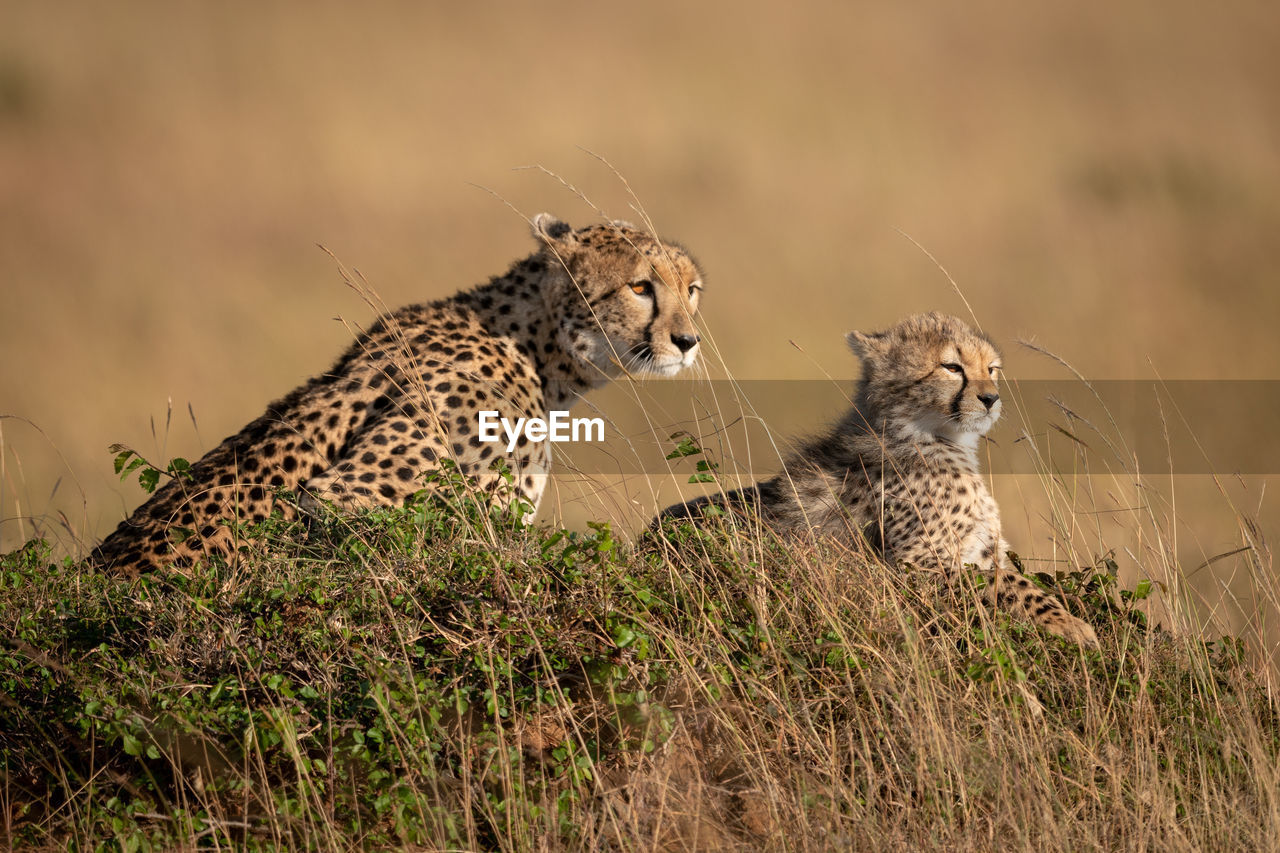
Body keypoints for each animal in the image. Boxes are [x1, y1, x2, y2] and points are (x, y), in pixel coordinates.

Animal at [665, 312, 1095, 645]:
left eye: (992, 369)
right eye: (951, 367)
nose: (991, 398)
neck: (926, 435)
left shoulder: (986, 550)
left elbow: (1014, 575)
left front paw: (1069, 613)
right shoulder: (912, 568)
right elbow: (1007, 583)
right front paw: (1070, 625)